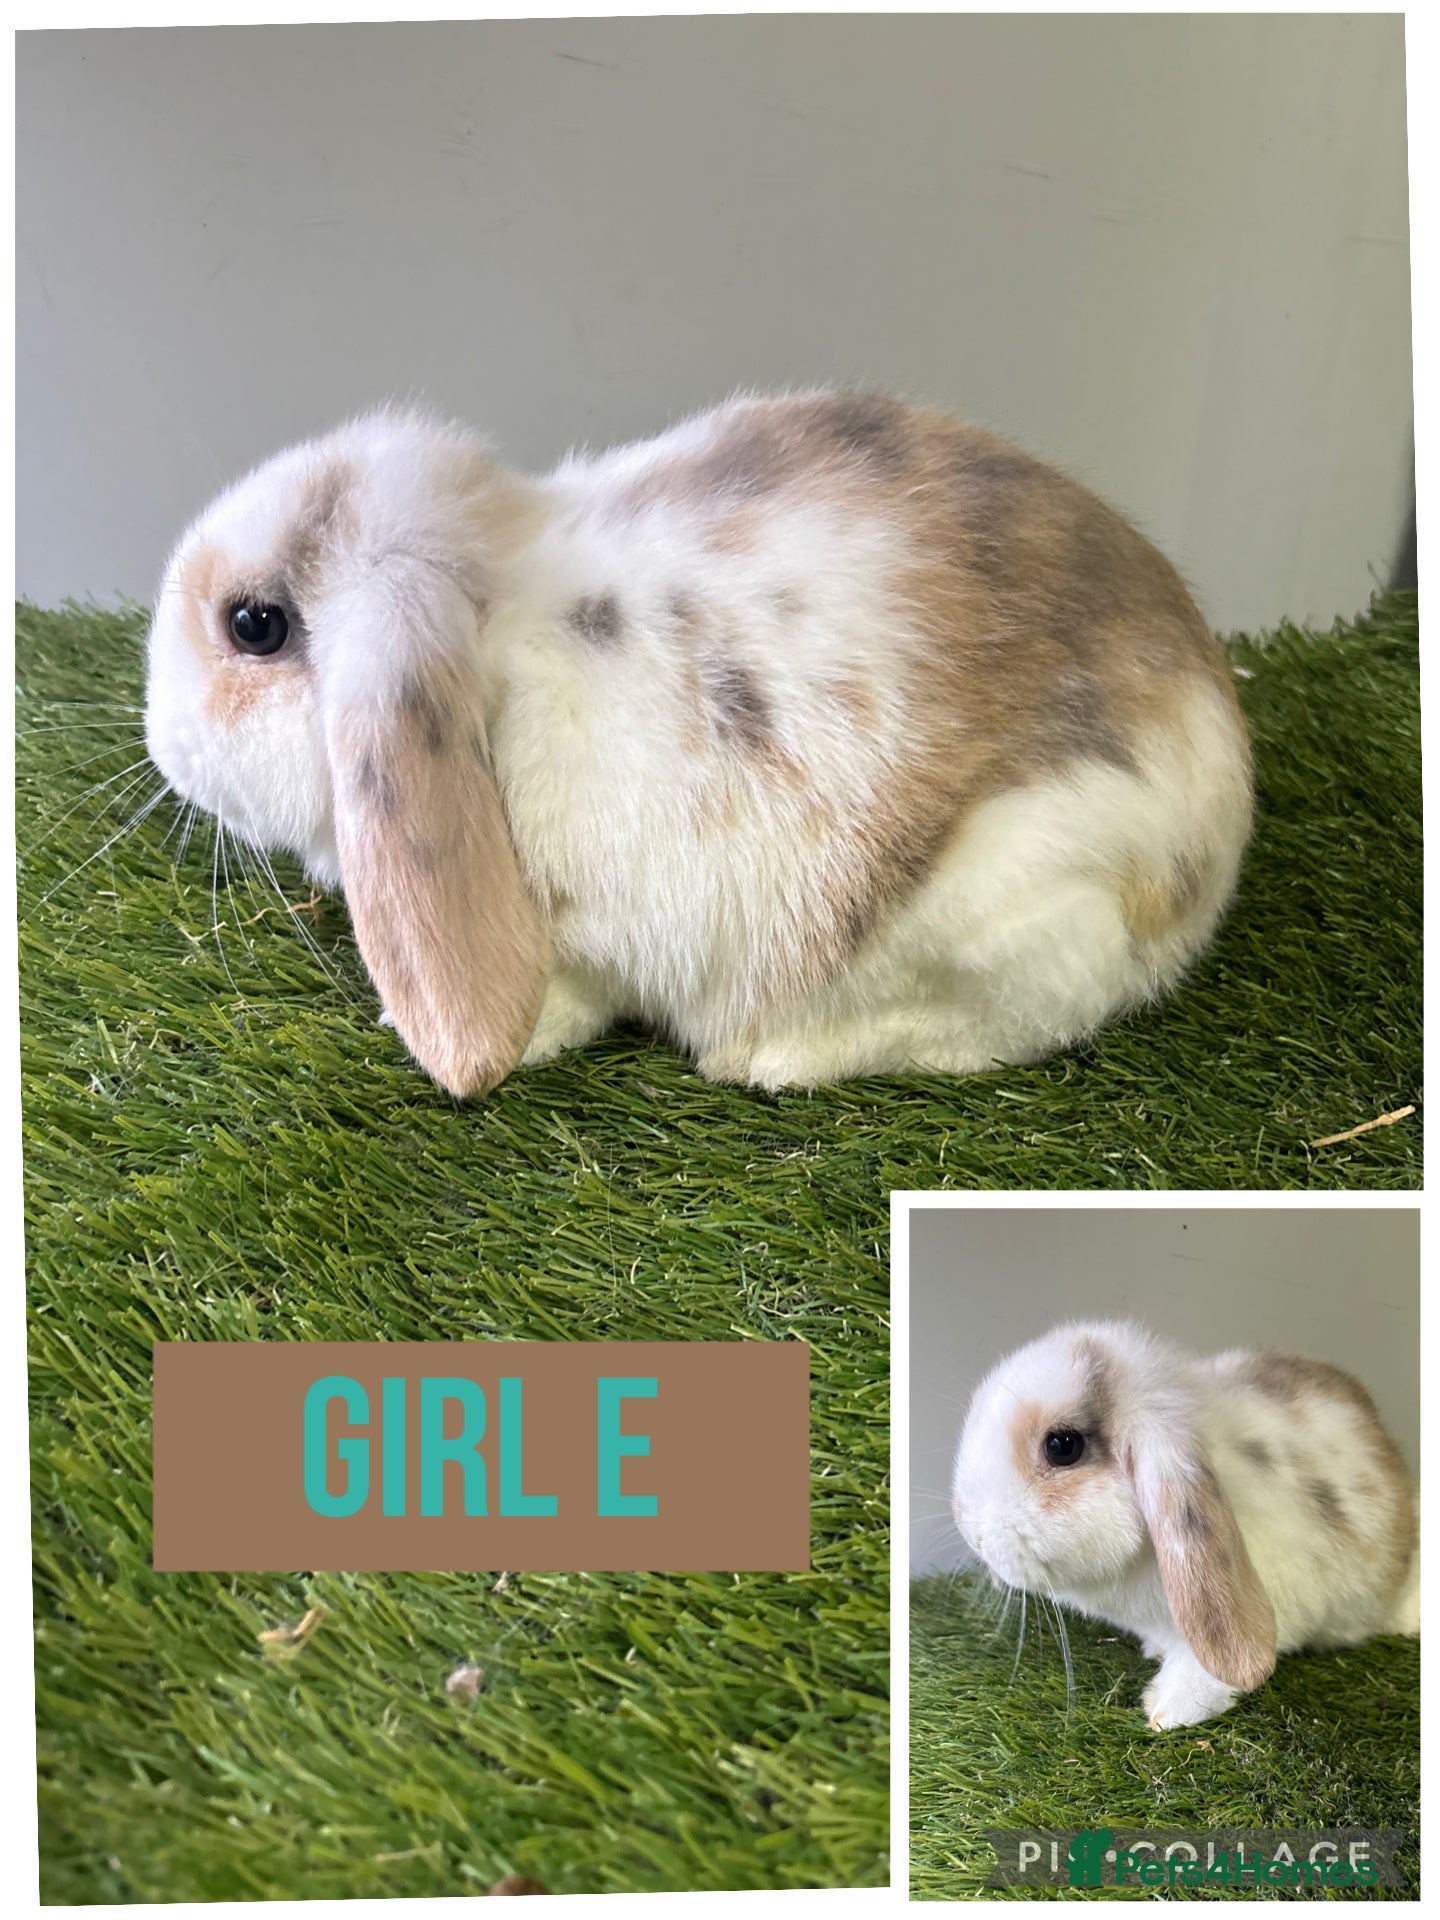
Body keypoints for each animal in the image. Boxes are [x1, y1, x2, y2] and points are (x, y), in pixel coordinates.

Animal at [144, 390, 1253, 1097]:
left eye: (254, 626)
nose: (158, 740)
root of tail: (1215, 847)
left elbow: (565, 995)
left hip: (1018, 901)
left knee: (1018, 1021)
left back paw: (770, 1058)